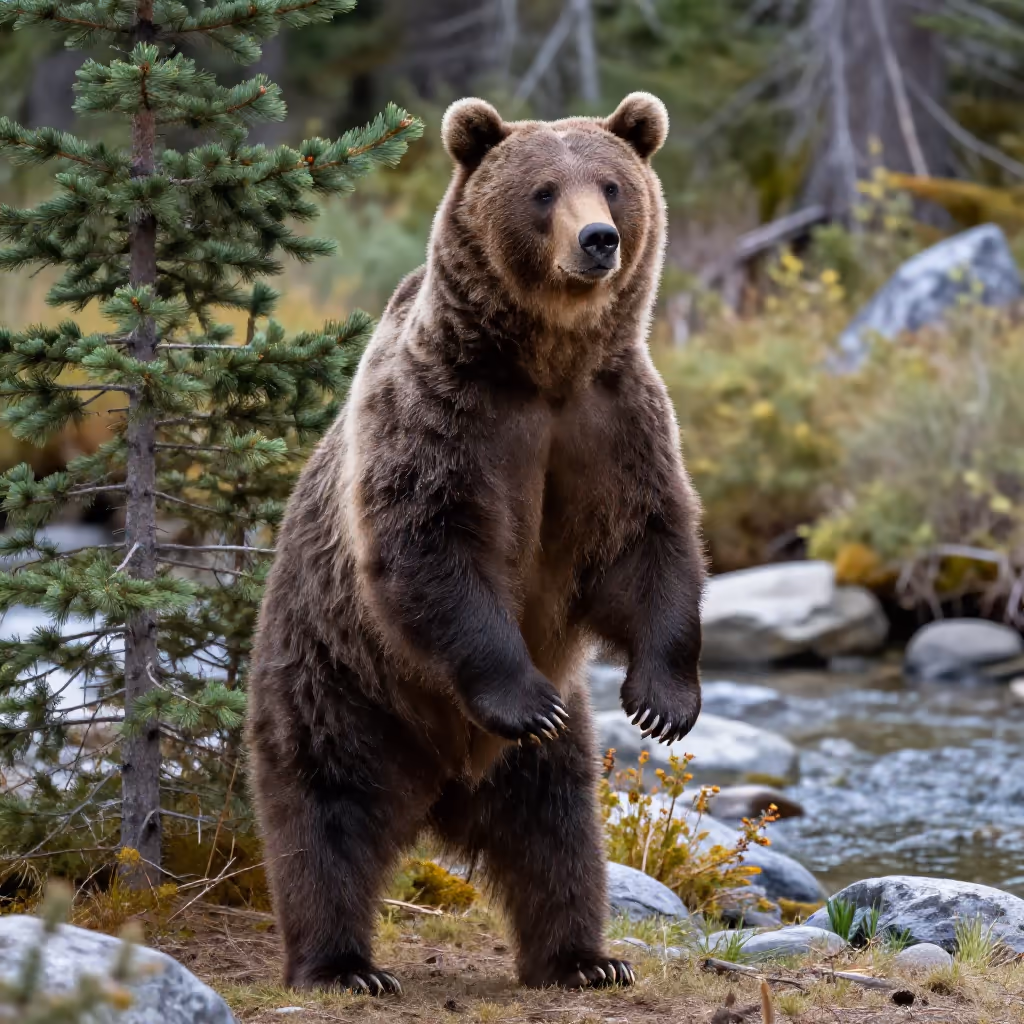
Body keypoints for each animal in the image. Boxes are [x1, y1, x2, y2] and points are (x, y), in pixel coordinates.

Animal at [246, 91, 706, 995]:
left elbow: (650, 541)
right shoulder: (446, 415)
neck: (545, 366)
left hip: (543, 762)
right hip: (338, 685)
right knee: (325, 817)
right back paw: (342, 965)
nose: (597, 239)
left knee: (558, 836)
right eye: (542, 191)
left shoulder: (614, 422)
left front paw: (663, 701)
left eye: (612, 185)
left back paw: (585, 959)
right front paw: (523, 697)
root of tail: (443, 787)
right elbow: (429, 544)